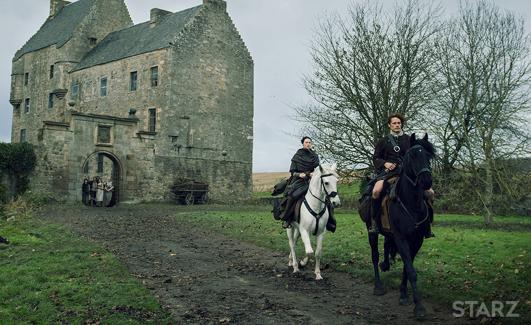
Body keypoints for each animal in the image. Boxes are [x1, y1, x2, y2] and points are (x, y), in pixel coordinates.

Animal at [366, 132, 436, 318]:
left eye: (429, 156)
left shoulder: (417, 240)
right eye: (412, 156)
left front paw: (404, 295)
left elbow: (407, 267)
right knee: (374, 256)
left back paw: (386, 265)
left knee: (385, 246)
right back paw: (378, 286)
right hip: (371, 232)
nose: (426, 181)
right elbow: (411, 270)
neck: (411, 203)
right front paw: (419, 307)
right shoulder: (401, 238)